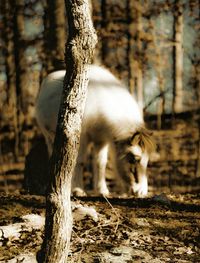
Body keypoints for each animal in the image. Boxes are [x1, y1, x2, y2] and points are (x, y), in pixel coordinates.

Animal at [36, 65, 155, 198]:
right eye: (133, 159)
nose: (141, 192)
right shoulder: (82, 138)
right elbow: (79, 161)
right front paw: (78, 190)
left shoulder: (101, 140)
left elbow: (100, 163)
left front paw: (102, 190)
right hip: (49, 137)